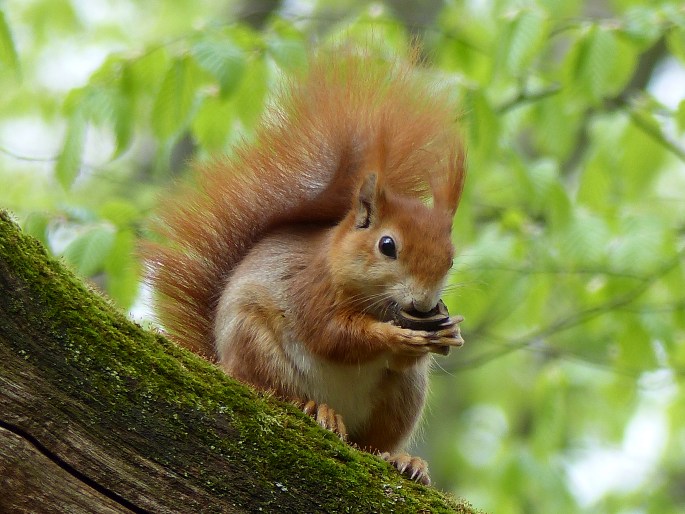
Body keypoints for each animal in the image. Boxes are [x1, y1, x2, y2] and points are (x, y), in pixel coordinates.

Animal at [144, 49, 464, 484]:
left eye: (451, 258)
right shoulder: (309, 289)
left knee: (373, 444)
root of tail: (221, 362)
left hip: (403, 395)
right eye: (387, 246)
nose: (425, 303)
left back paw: (404, 459)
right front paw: (393, 335)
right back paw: (316, 409)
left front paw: (448, 334)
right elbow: (332, 335)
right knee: (275, 392)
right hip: (255, 345)